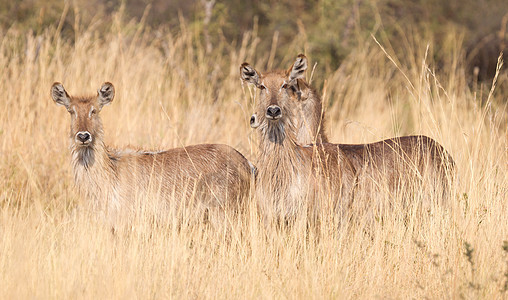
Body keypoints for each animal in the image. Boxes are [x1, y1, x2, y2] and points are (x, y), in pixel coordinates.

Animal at [51, 82, 254, 225]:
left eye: (95, 110)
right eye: (71, 111)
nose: (83, 136)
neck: (110, 172)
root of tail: (247, 164)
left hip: (224, 213)